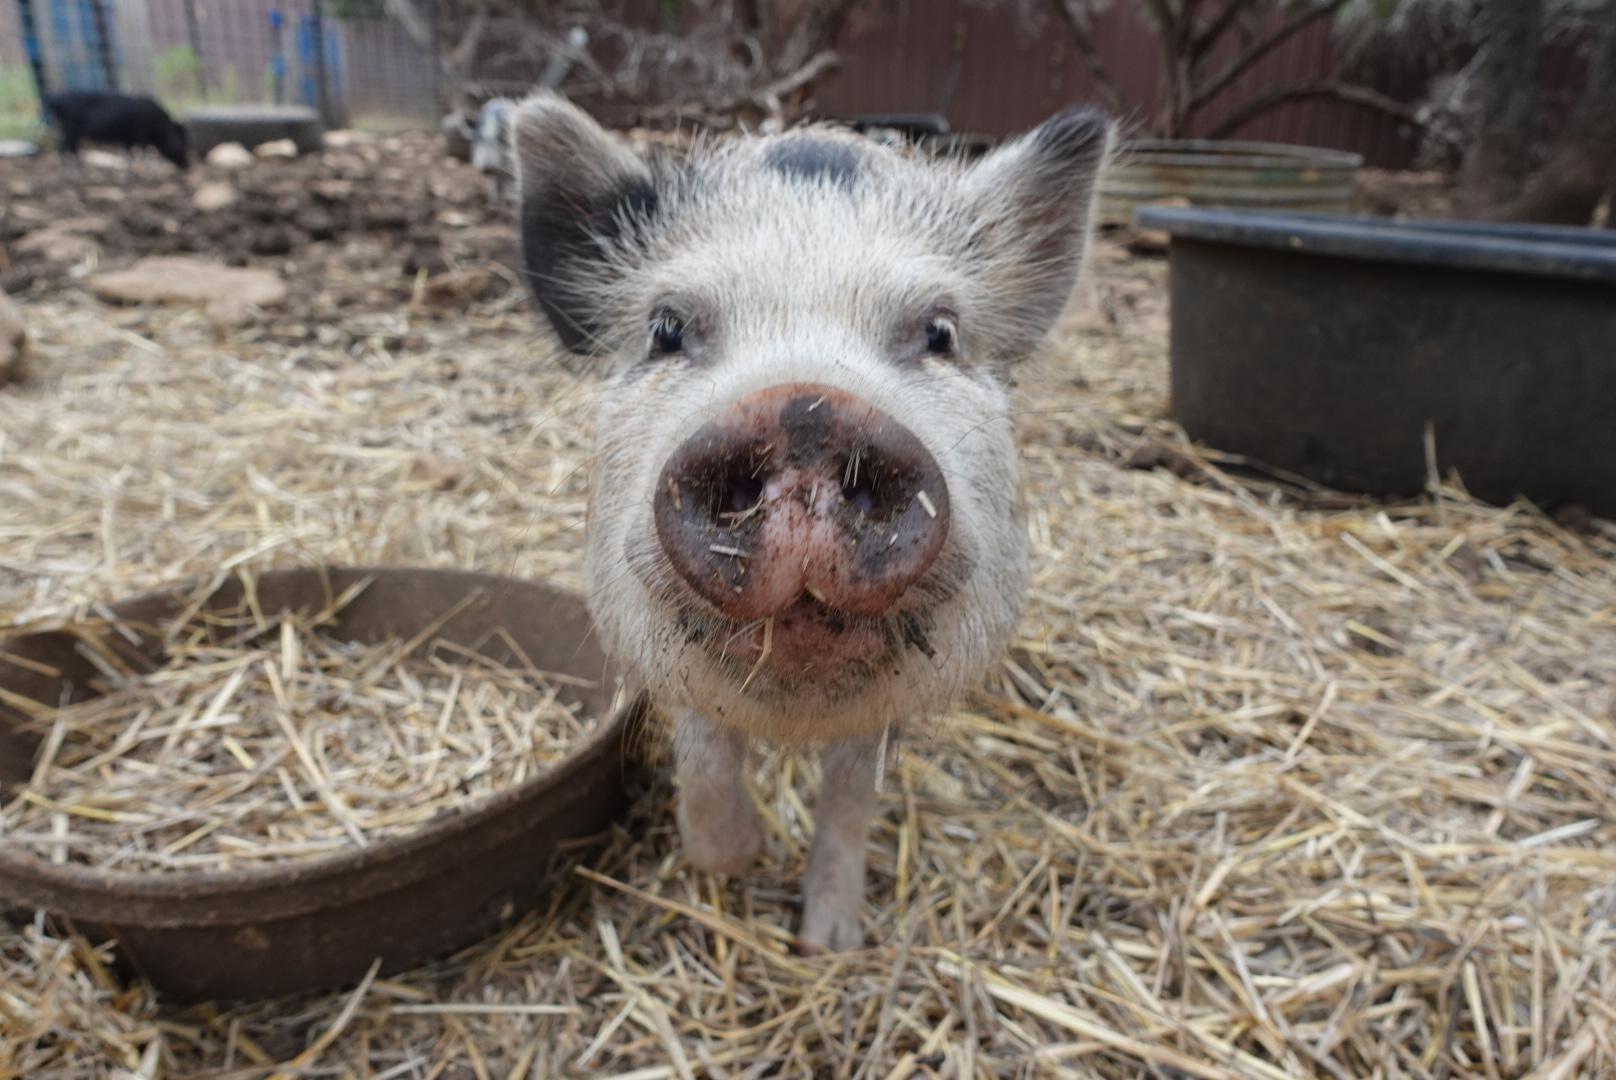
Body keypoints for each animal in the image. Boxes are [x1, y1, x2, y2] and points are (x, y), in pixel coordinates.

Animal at [43, 91, 189, 170]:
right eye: (182, 145)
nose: (188, 166)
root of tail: (53, 100)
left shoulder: (128, 137)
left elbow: (127, 155)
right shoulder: (141, 134)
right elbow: (143, 153)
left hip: (70, 132)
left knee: (71, 149)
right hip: (70, 129)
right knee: (63, 148)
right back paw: (73, 172)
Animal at [511, 92, 1112, 950]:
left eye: (940, 333)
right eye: (666, 330)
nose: (807, 412)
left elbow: (852, 798)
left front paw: (831, 943)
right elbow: (705, 764)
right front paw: (737, 866)